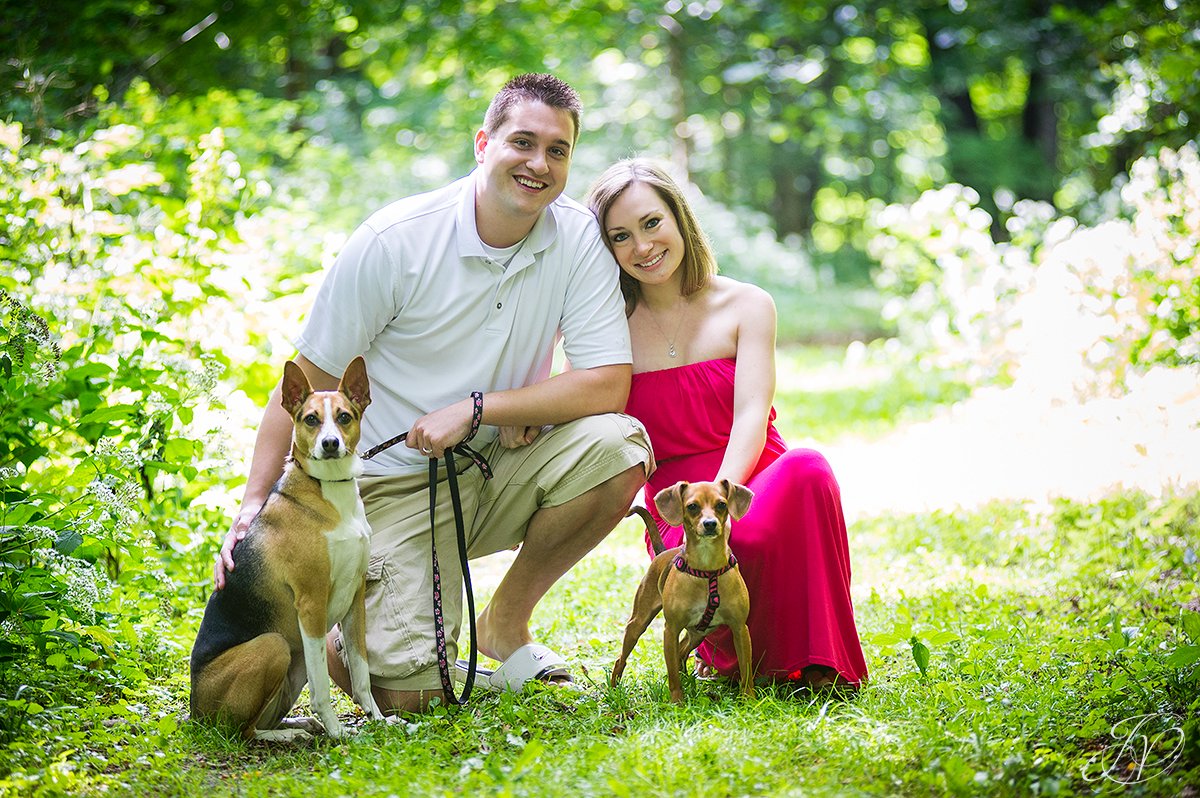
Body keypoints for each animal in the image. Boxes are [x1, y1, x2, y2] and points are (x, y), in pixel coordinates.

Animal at [190, 355, 384, 739]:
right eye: (311, 419)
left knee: (266, 718)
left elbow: (362, 673)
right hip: (276, 645)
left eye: (344, 417)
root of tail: (193, 712)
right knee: (242, 731)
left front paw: (380, 719)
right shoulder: (311, 604)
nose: (330, 444)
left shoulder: (356, 598)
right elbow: (323, 687)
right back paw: (289, 734)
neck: (329, 489)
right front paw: (338, 732)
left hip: (294, 661)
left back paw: (300, 723)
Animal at [614, 480, 753, 696]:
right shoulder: (670, 630)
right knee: (621, 660)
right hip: (637, 625)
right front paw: (677, 701)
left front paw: (749, 699)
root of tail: (662, 553)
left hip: (699, 633)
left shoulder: (740, 628)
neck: (707, 570)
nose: (710, 523)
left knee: (681, 651)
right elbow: (673, 678)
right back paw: (613, 690)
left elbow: (747, 673)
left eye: (722, 504)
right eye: (692, 506)